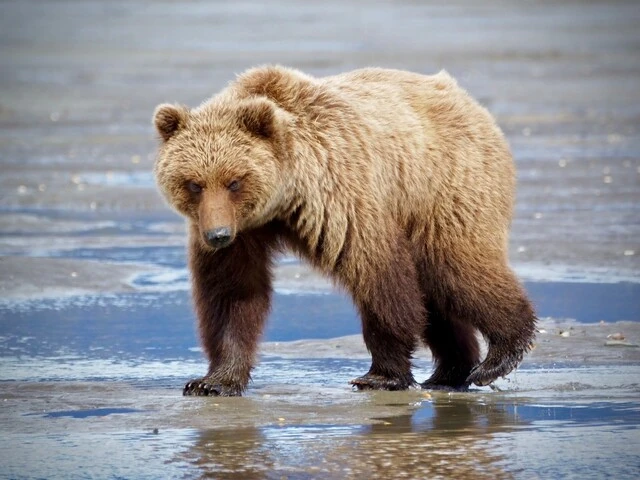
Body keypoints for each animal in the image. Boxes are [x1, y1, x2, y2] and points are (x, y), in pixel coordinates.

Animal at [153, 65, 537, 396]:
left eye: (234, 181)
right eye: (194, 183)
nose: (217, 235)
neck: (284, 198)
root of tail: (468, 101)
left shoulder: (340, 196)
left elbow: (379, 278)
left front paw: (381, 375)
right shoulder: (243, 231)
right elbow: (232, 294)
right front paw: (213, 381)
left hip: (445, 186)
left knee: (456, 265)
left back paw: (499, 356)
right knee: (436, 292)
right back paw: (449, 371)